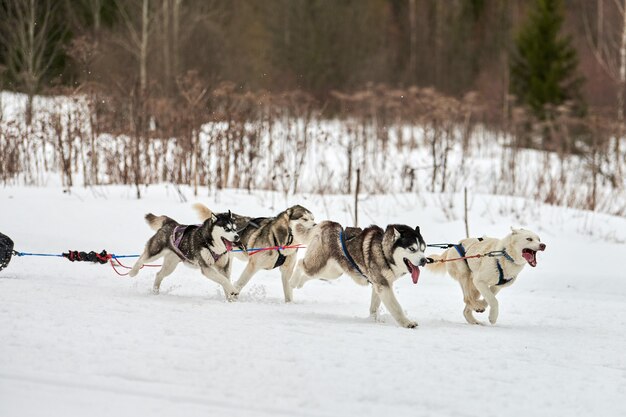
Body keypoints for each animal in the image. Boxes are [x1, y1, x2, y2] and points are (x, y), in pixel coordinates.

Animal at [288, 221, 426, 328]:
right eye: (412, 249)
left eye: (423, 249)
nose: (424, 260)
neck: (383, 251)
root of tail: (330, 224)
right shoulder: (383, 285)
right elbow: (396, 307)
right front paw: (407, 323)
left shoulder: (378, 285)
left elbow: (374, 307)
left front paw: (373, 320)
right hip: (318, 266)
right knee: (300, 263)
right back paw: (292, 282)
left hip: (332, 272)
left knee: (308, 274)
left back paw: (299, 283)